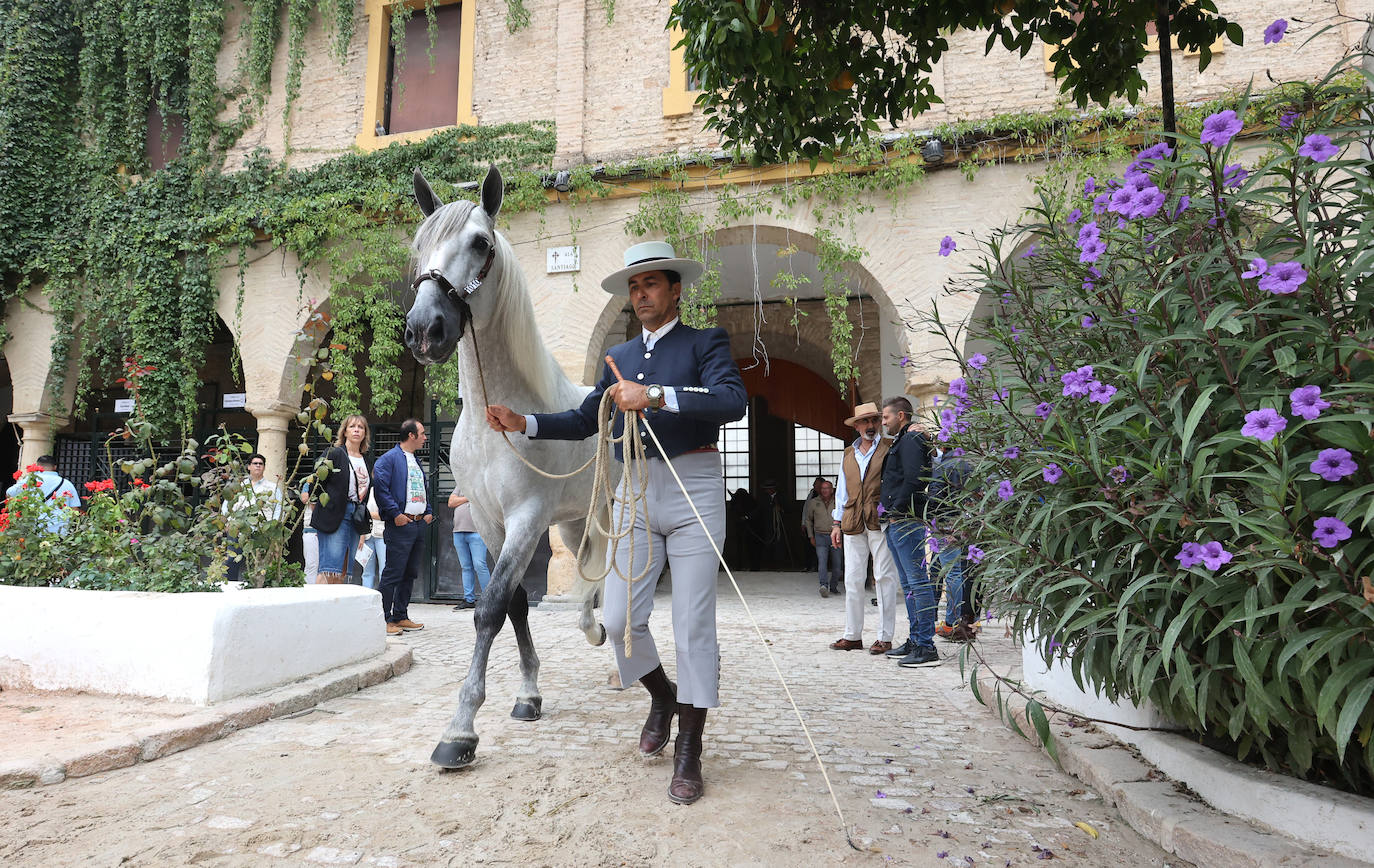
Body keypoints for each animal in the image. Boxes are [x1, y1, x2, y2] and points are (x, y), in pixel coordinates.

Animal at [401, 162, 607, 763]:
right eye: (419, 245)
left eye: (480, 243)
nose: (424, 330)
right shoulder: (492, 523)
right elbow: (514, 604)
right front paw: (528, 695)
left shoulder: (526, 519)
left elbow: (489, 607)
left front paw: (460, 729)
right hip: (573, 523)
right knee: (591, 570)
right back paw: (594, 628)